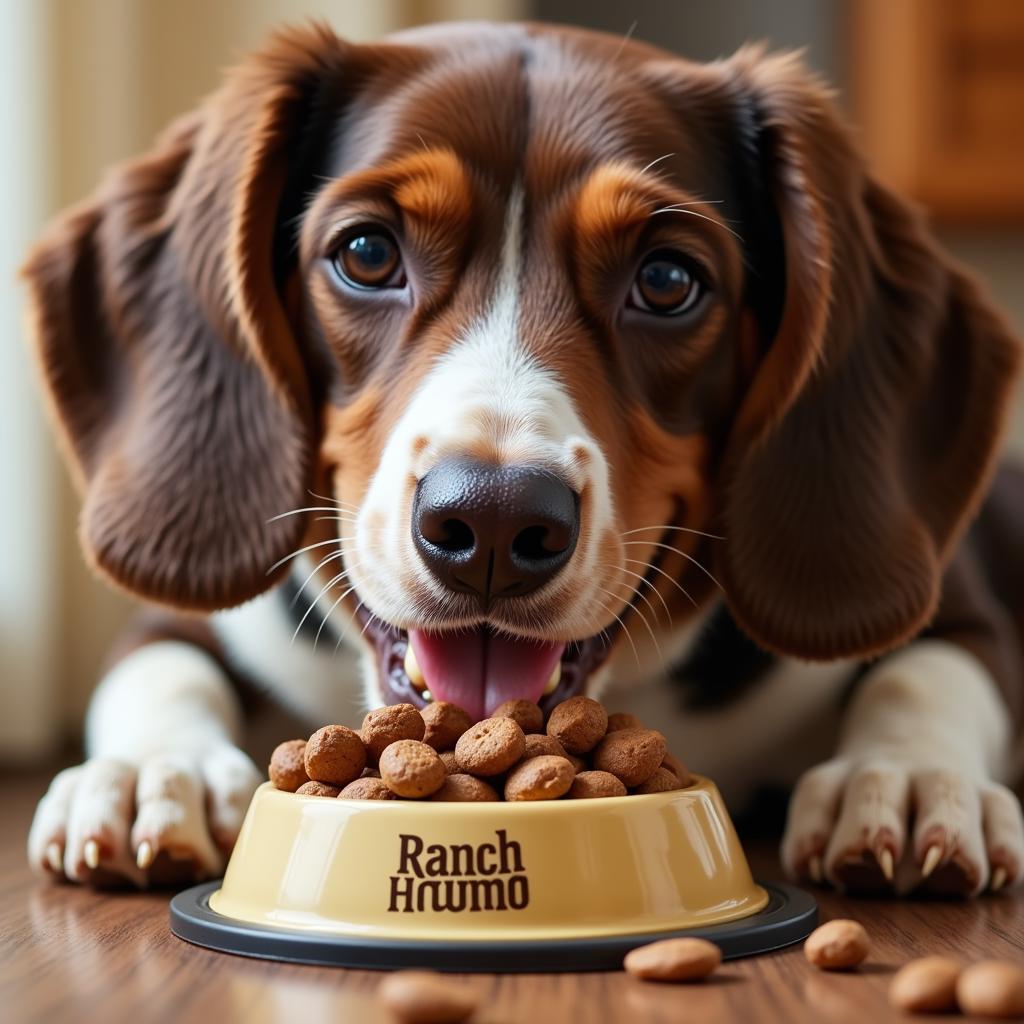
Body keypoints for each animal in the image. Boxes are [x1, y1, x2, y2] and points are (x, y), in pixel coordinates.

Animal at [22, 18, 1024, 897]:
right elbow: (156, 668)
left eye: (668, 280)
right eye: (367, 252)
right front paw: (157, 771)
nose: (494, 521)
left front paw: (903, 778)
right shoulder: (199, 625)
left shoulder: (962, 607)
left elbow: (928, 676)